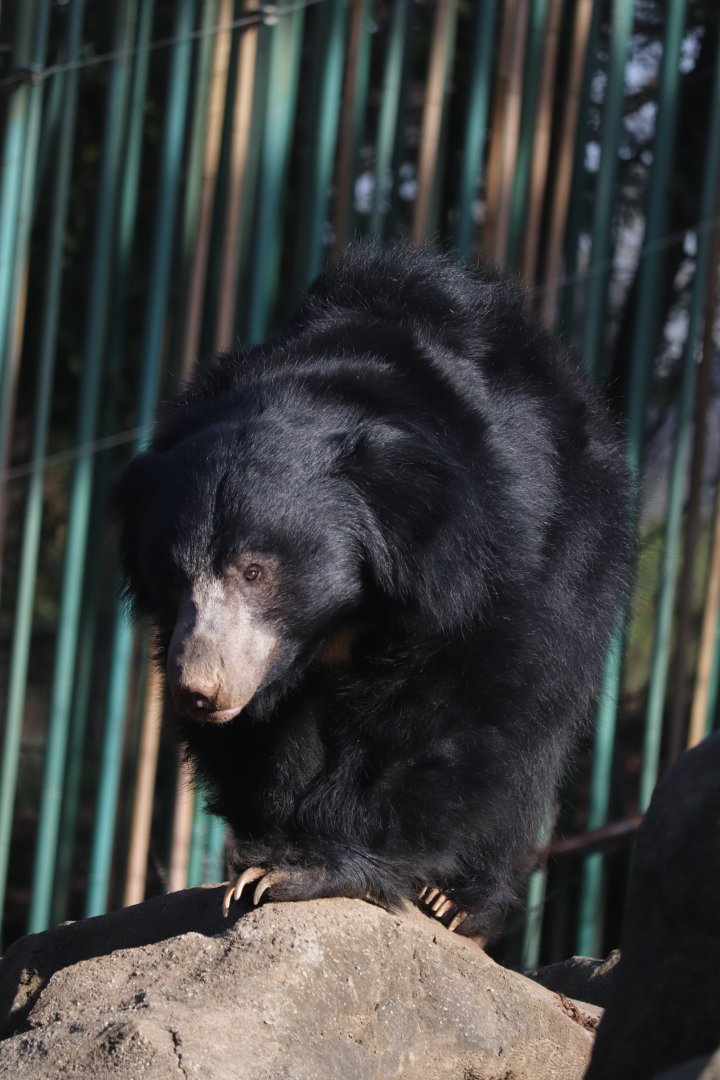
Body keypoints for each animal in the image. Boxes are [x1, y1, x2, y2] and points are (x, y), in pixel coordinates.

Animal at [116, 243, 632, 938]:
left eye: (254, 571)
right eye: (173, 575)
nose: (201, 690)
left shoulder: (483, 554)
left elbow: (448, 703)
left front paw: (309, 865)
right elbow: (265, 733)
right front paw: (267, 848)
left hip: (584, 551)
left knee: (535, 727)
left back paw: (457, 901)